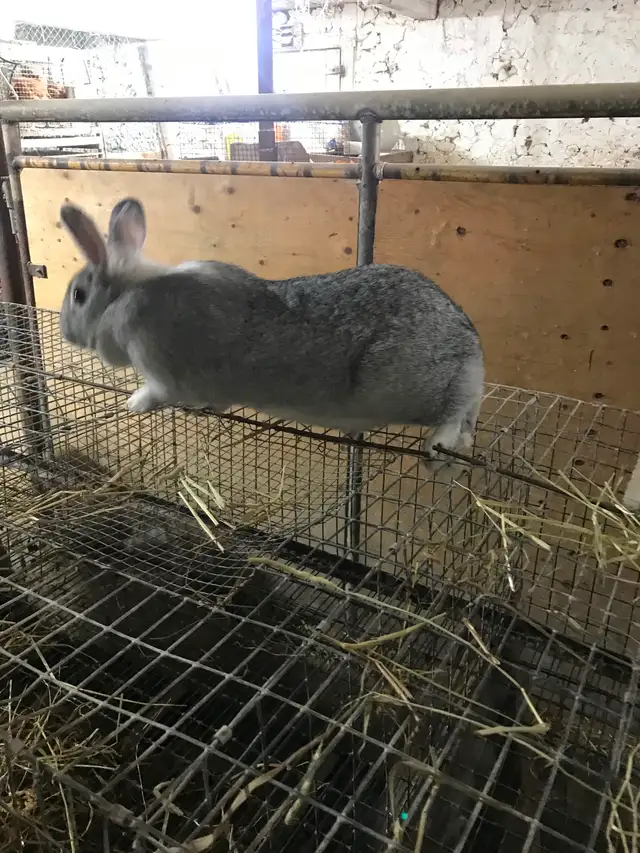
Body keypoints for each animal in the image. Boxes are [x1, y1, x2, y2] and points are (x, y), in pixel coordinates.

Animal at [58, 197, 484, 468]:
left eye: (78, 295)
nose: (66, 334)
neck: (128, 294)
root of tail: (473, 350)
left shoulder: (163, 372)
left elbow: (157, 393)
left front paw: (134, 403)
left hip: (418, 388)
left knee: (455, 411)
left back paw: (437, 444)